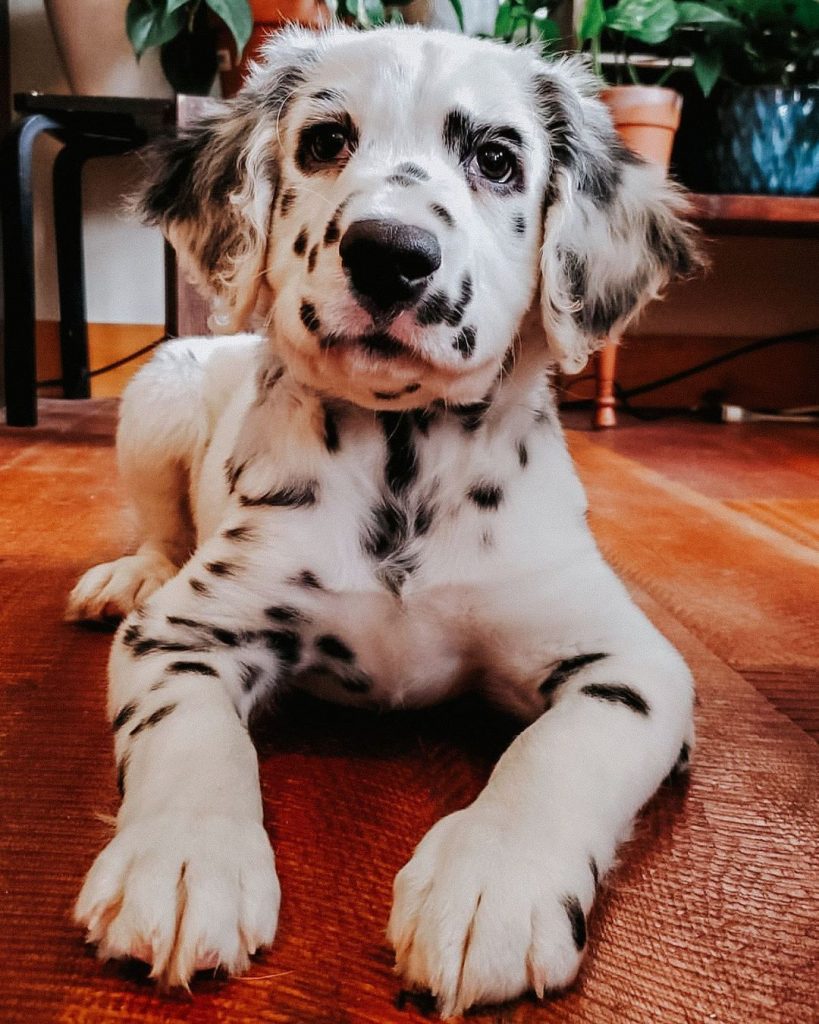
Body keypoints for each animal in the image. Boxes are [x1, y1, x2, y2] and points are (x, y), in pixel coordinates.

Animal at [68, 22, 696, 1015]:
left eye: (495, 159)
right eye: (325, 141)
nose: (390, 253)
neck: (404, 461)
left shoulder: (630, 662)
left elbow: (559, 753)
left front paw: (493, 885)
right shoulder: (185, 631)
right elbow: (188, 737)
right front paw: (180, 860)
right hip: (157, 395)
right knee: (161, 532)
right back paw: (125, 574)